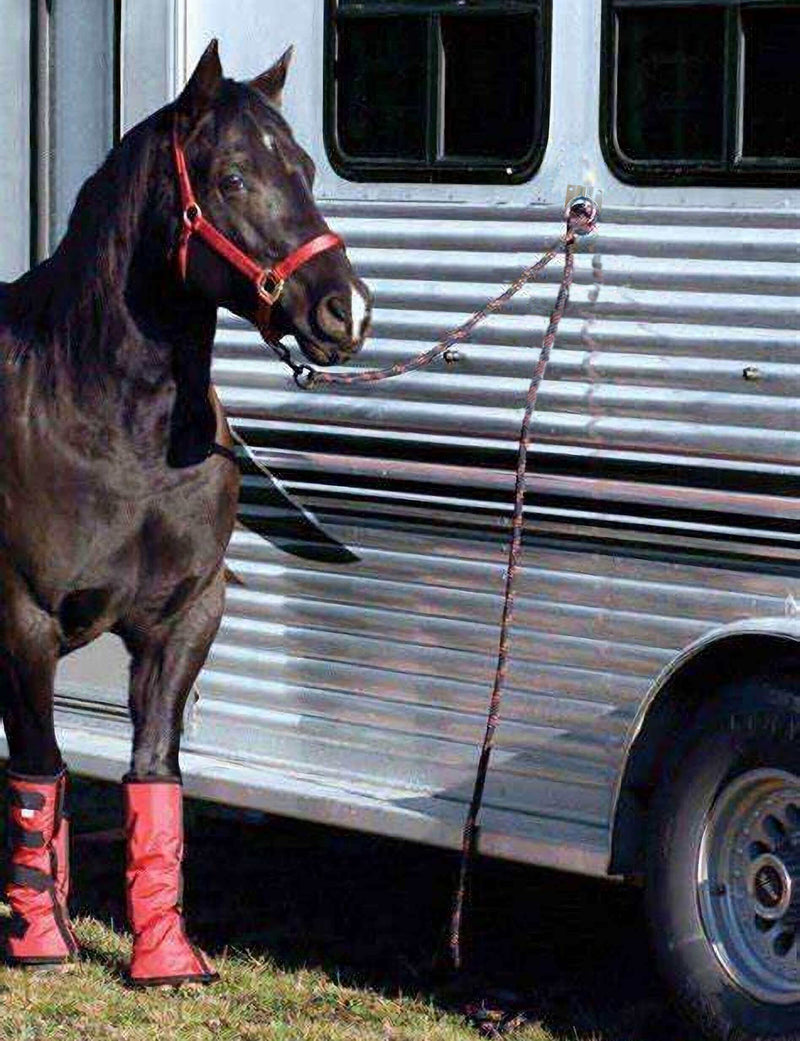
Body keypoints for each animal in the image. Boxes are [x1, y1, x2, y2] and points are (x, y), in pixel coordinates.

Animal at [0, 39, 371, 985]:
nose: (345, 309)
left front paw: (166, 955)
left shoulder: (185, 617)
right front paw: (42, 942)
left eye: (306, 167)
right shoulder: (22, 618)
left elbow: (155, 771)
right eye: (233, 176)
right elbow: (39, 771)